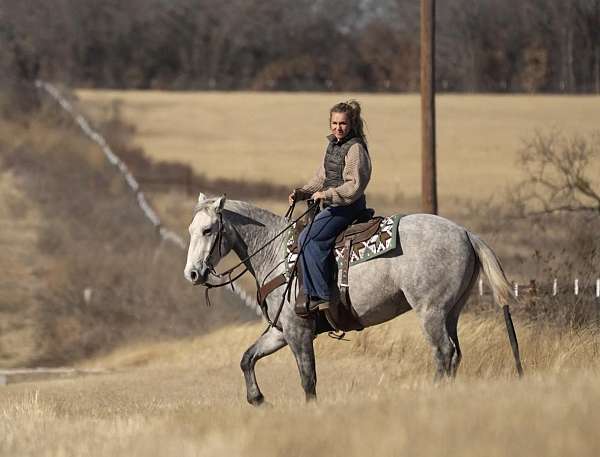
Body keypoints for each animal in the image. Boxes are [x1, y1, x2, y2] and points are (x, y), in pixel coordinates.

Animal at [183, 192, 520, 402]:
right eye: (191, 230)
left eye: (209, 230)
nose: (193, 274)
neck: (276, 253)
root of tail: (465, 233)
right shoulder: (282, 331)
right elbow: (247, 358)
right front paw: (257, 398)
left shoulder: (298, 331)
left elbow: (308, 379)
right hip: (451, 312)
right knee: (454, 355)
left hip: (431, 312)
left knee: (444, 353)